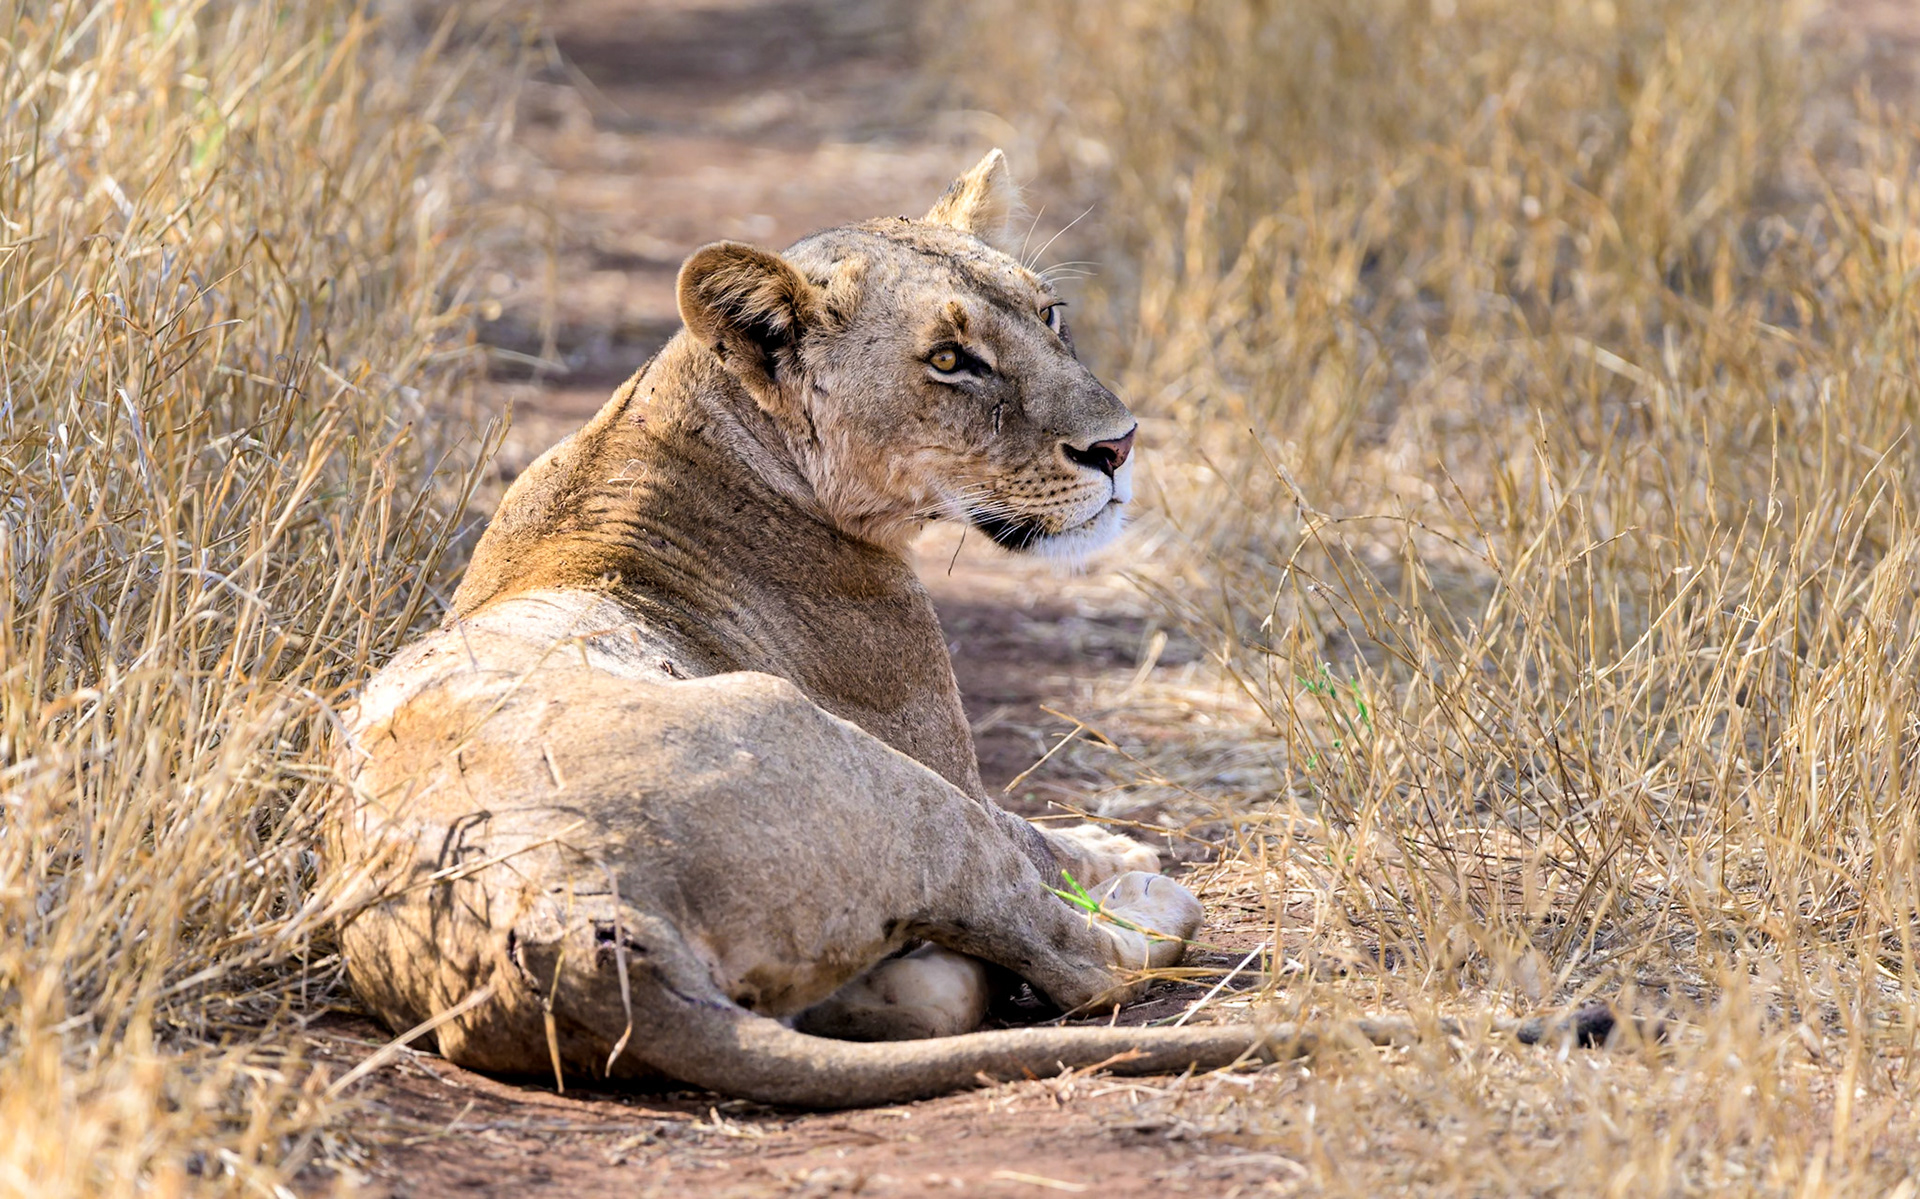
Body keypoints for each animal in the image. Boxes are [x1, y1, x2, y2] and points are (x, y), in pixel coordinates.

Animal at [328, 151, 1618, 1107]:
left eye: (1050, 313)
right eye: (951, 360)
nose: (1119, 444)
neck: (676, 429)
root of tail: (574, 933)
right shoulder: (932, 742)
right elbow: (1042, 843)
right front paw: (1120, 849)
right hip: (851, 761)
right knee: (1066, 949)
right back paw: (1148, 906)